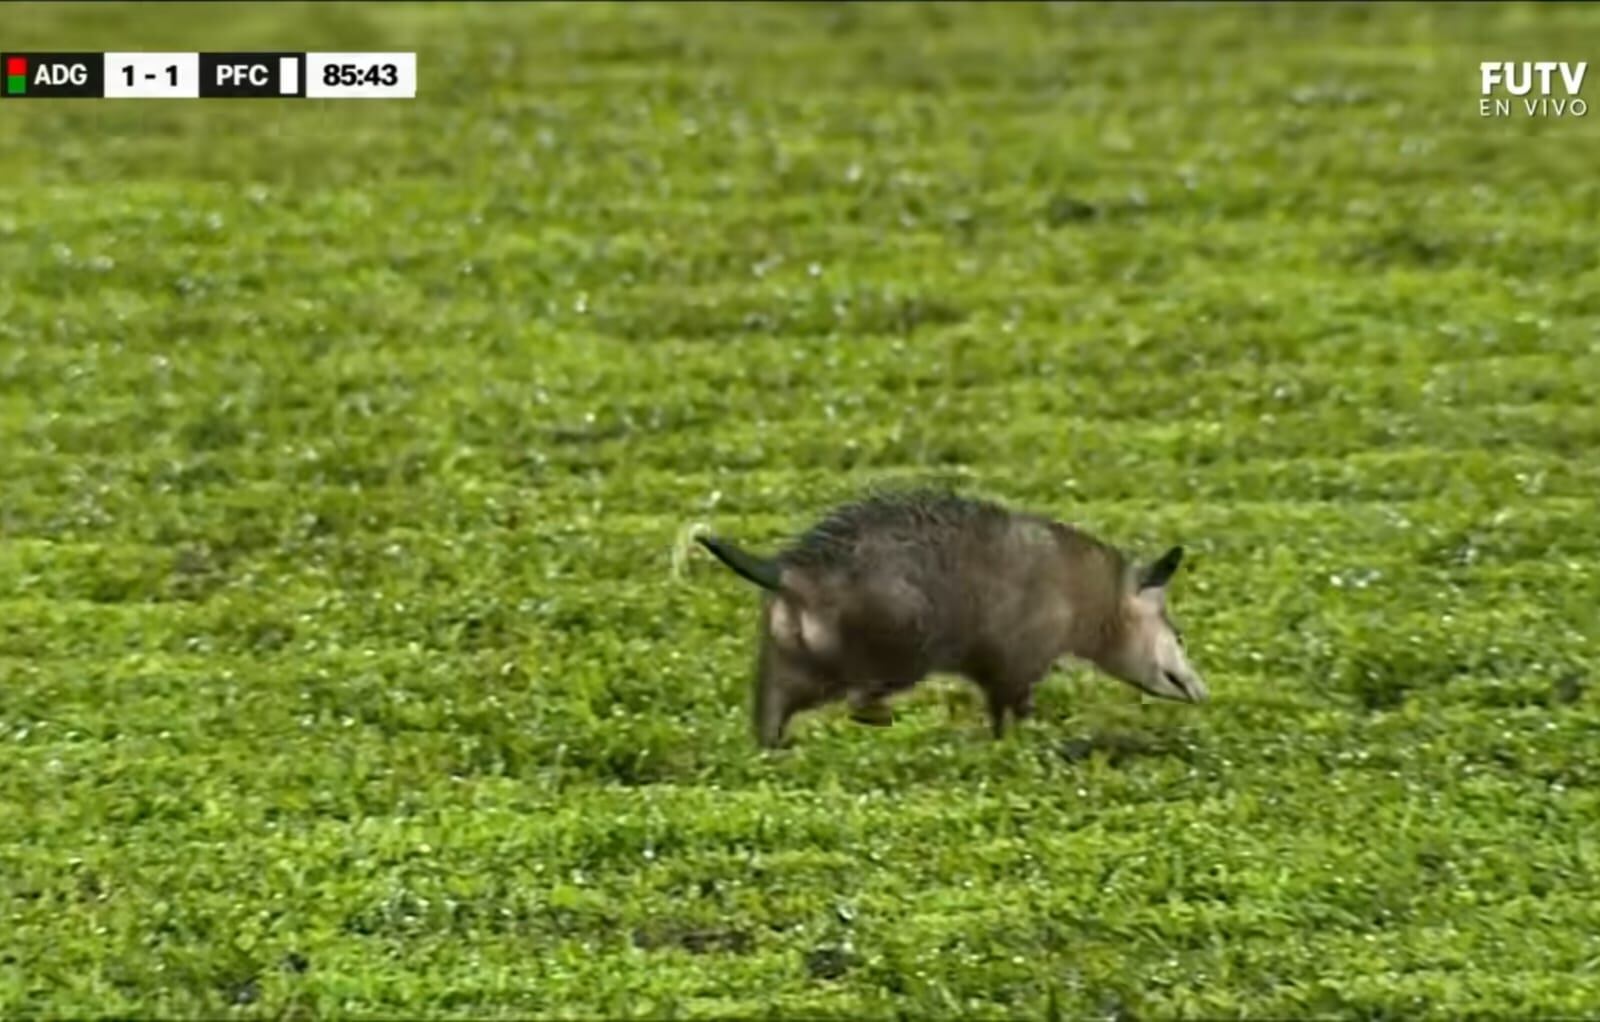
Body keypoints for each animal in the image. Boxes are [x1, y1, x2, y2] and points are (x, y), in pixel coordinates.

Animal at [695, 489, 1207, 748]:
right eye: (1179, 636)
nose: (1201, 691)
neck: (1093, 597)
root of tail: (787, 572)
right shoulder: (1020, 655)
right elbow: (1011, 701)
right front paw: (1027, 739)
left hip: (795, 647)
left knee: (779, 694)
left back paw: (771, 743)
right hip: (899, 640)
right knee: (862, 692)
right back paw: (874, 714)